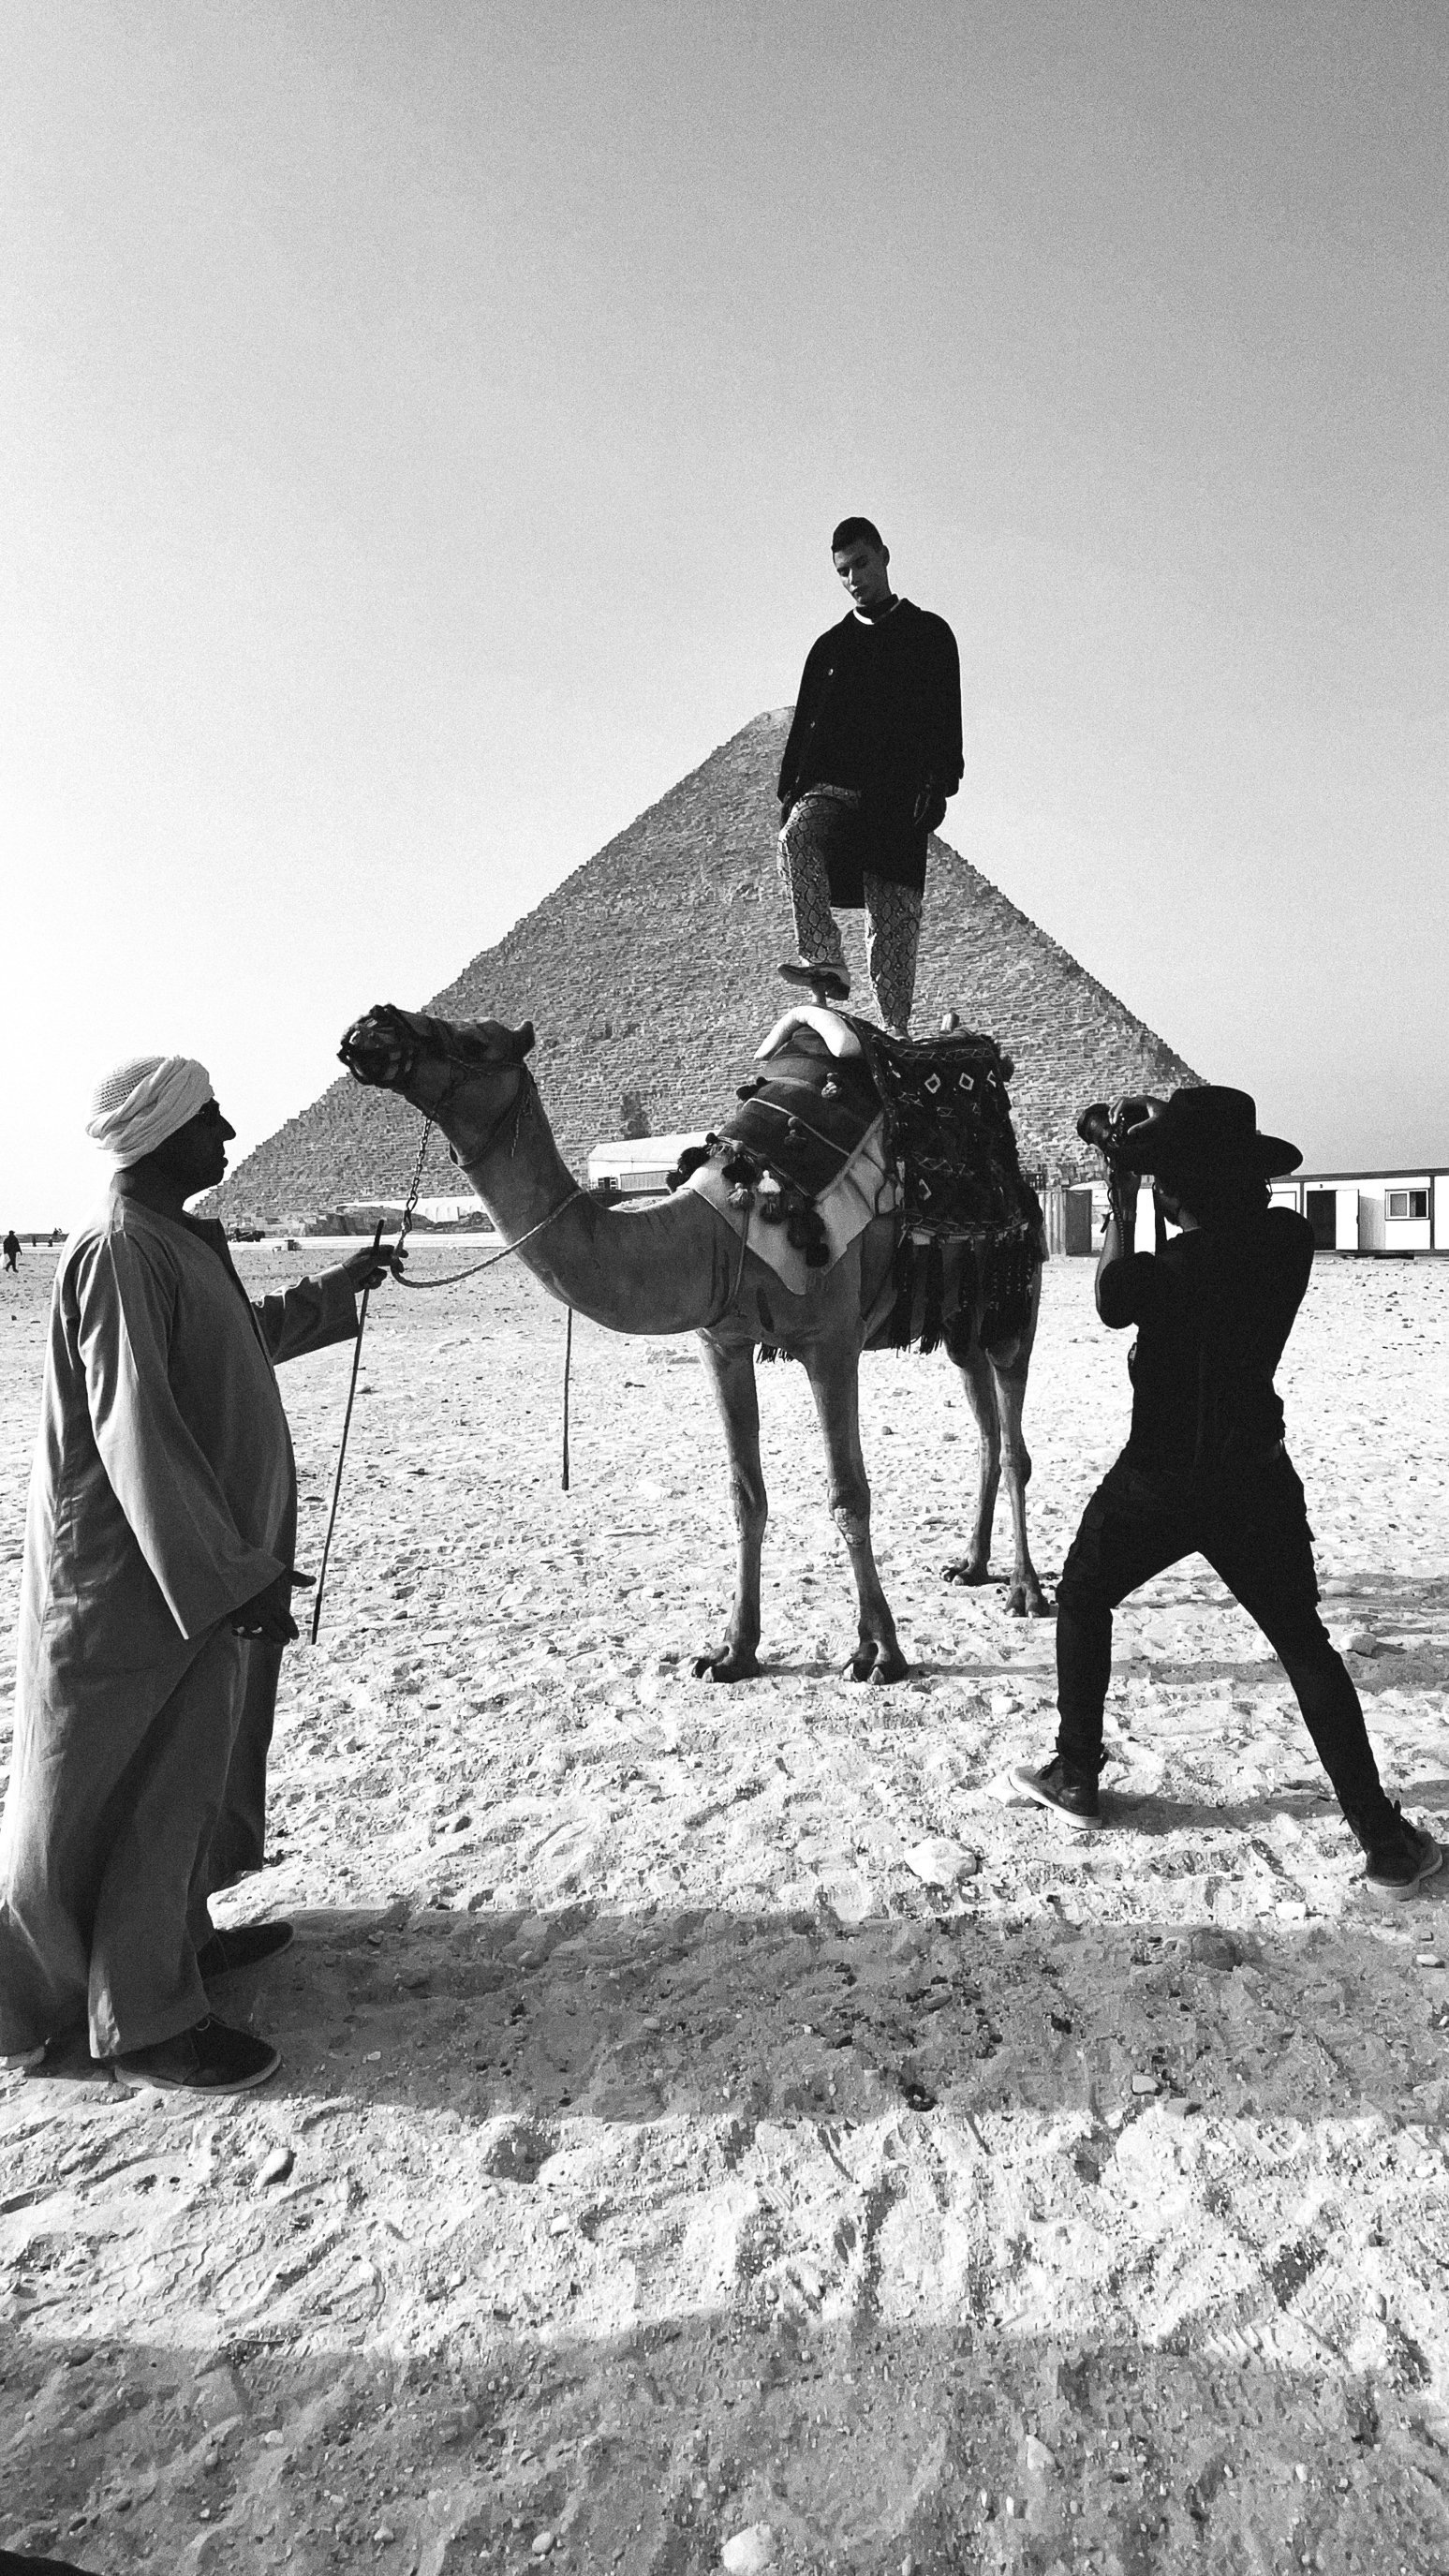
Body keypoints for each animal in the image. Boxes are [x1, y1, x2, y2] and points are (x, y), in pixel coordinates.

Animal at [339, 1005, 1050, 1684]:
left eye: (475, 1042)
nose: (369, 1028)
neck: (722, 1227)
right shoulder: (722, 1344)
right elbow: (744, 1496)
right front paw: (731, 1652)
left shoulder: (830, 1342)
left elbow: (848, 1495)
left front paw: (879, 1654)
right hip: (961, 1320)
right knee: (987, 1434)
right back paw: (970, 1565)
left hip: (1016, 1304)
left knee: (1015, 1443)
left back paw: (1025, 1591)